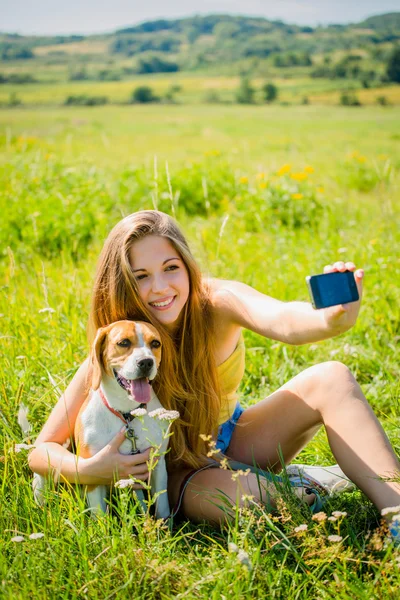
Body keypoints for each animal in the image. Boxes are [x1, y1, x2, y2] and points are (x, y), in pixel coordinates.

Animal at [32, 322, 172, 516]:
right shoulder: (93, 472)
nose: (146, 362)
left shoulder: (157, 465)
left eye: (155, 343)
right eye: (123, 342)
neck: (127, 413)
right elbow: (100, 517)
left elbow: (162, 509)